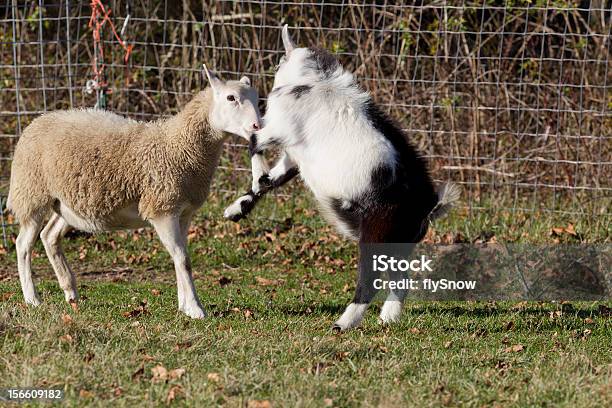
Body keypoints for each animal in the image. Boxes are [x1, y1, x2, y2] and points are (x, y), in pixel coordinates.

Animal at [7, 66, 260, 318]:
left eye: (258, 99)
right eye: (231, 98)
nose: (257, 126)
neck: (178, 145)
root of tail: (38, 120)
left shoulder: (184, 212)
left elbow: (182, 257)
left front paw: (184, 305)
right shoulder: (162, 209)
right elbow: (182, 258)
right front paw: (196, 308)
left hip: (67, 203)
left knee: (49, 236)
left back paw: (70, 292)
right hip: (32, 193)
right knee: (23, 245)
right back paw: (32, 299)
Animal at [225, 25, 460, 330]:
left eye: (278, 63)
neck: (312, 82)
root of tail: (428, 205)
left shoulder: (277, 127)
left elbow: (253, 142)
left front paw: (256, 177)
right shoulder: (294, 156)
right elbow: (273, 179)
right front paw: (235, 210)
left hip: (376, 233)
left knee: (370, 280)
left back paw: (342, 324)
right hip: (399, 242)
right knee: (401, 278)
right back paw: (387, 319)